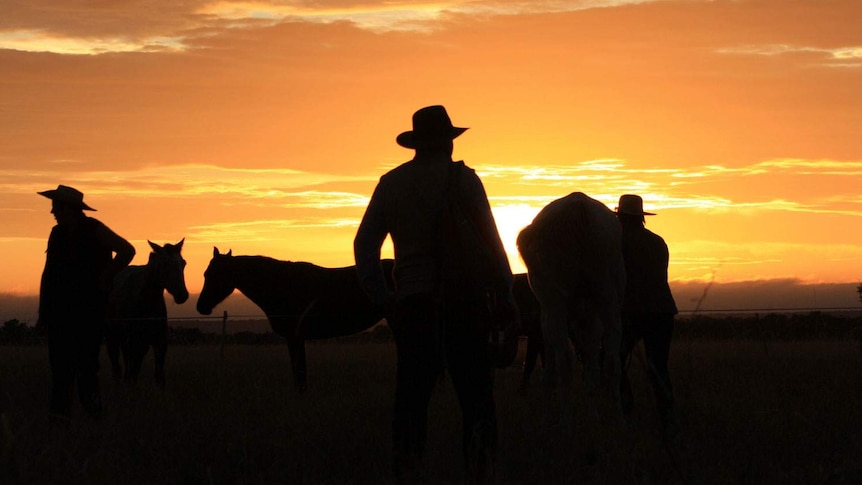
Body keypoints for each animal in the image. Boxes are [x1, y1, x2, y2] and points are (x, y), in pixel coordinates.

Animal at [106, 236, 189, 388]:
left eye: (183, 263)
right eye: (164, 263)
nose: (182, 295)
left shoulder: (159, 339)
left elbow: (159, 374)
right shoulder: (130, 339)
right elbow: (130, 367)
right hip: (114, 335)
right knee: (117, 364)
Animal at [197, 248, 394, 392]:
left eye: (215, 275)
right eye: (206, 274)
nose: (201, 307)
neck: (282, 285)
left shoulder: (295, 337)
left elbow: (300, 373)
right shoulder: (295, 339)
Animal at [516, 193, 624, 424]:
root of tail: (578, 206)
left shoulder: (545, 318)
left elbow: (549, 364)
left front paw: (547, 411)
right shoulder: (591, 318)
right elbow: (592, 362)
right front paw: (594, 414)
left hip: (555, 301)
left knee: (565, 359)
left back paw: (565, 420)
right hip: (608, 298)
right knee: (613, 360)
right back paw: (621, 420)